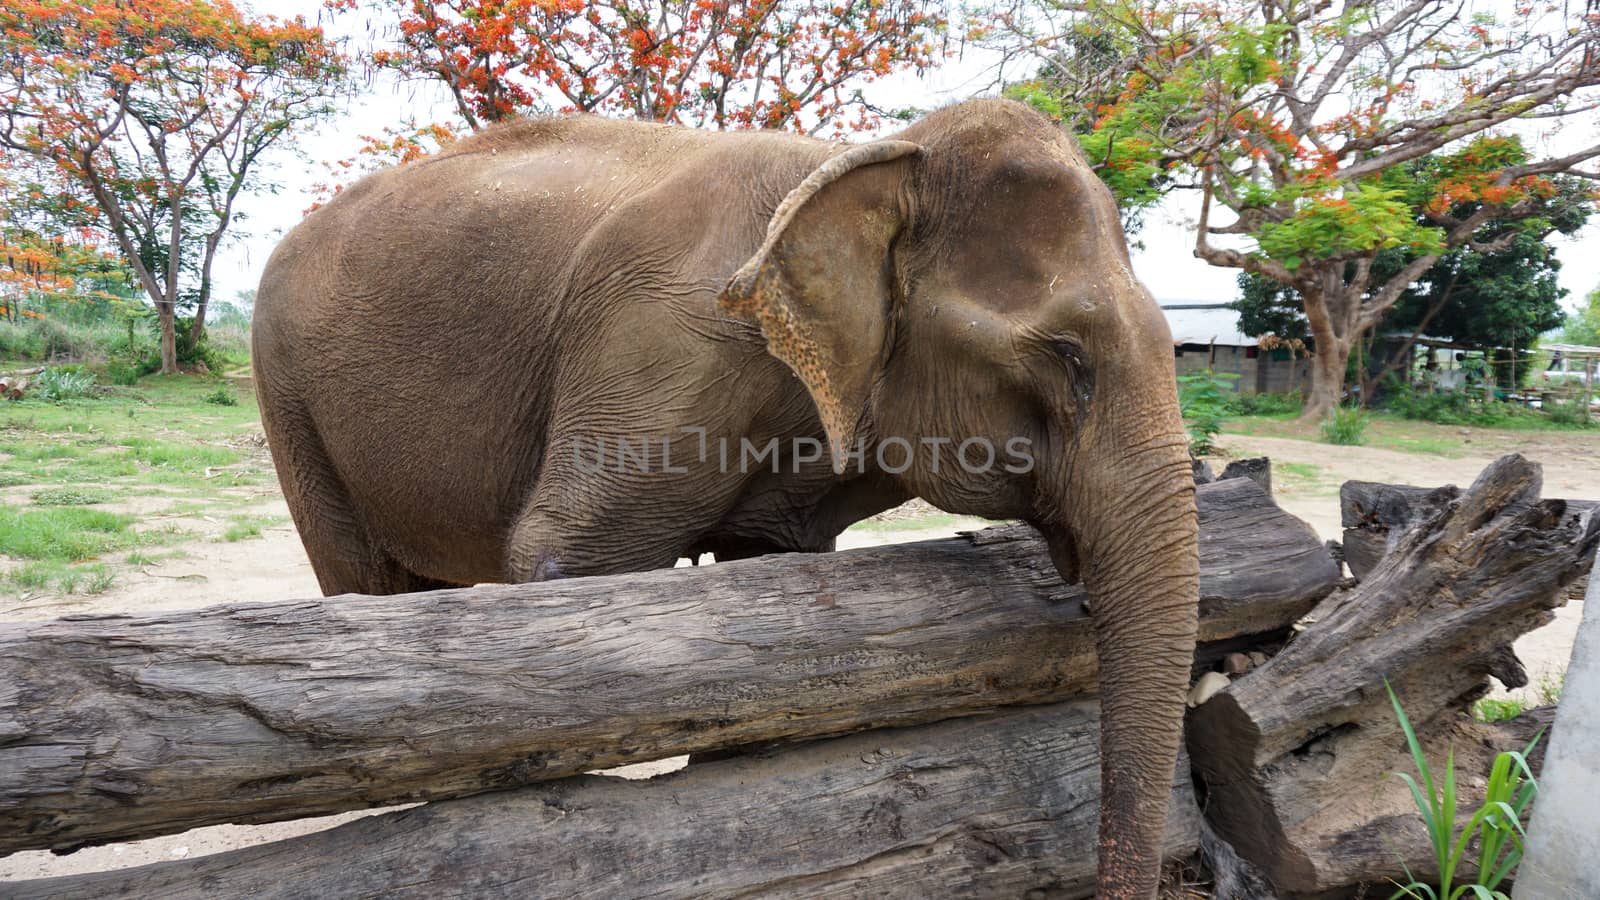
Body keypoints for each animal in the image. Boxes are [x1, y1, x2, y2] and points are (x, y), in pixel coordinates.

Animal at [252, 99, 1203, 896]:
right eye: (1069, 359)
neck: (867, 159)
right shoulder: (663, 339)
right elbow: (563, 561)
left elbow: (766, 577)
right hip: (286, 390)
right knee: (364, 582)